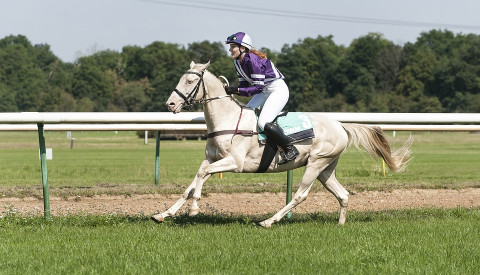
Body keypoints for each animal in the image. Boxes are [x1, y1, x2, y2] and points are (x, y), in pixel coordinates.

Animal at [151, 62, 412, 229]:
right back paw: (340, 224)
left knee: (300, 195)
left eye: (190, 81)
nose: (170, 104)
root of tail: (340, 125)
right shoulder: (213, 159)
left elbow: (201, 176)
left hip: (315, 164)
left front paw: (194, 208)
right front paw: (164, 214)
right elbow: (193, 182)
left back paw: (268, 221)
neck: (227, 120)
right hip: (326, 169)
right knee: (343, 194)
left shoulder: (234, 163)